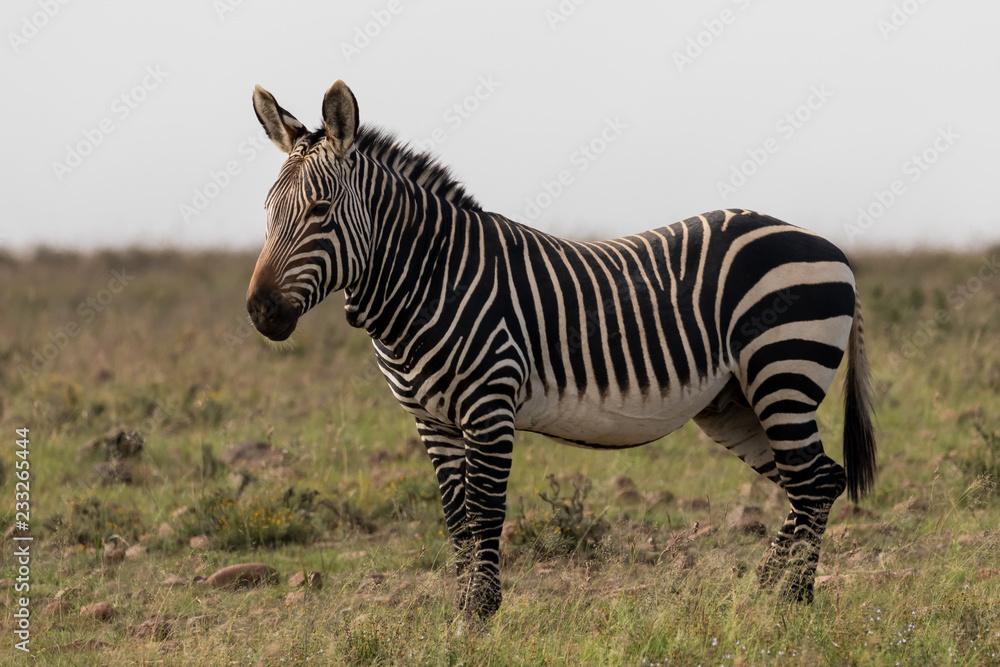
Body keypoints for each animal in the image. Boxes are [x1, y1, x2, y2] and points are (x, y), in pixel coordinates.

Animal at [246, 80, 877, 620]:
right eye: (267, 210)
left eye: (321, 211)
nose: (260, 311)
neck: (431, 278)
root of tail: (830, 246)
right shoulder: (432, 420)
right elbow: (455, 518)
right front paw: (459, 614)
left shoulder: (490, 407)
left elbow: (484, 512)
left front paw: (477, 618)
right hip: (734, 402)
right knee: (816, 481)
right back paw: (766, 594)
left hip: (782, 370)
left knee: (812, 483)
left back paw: (790, 603)